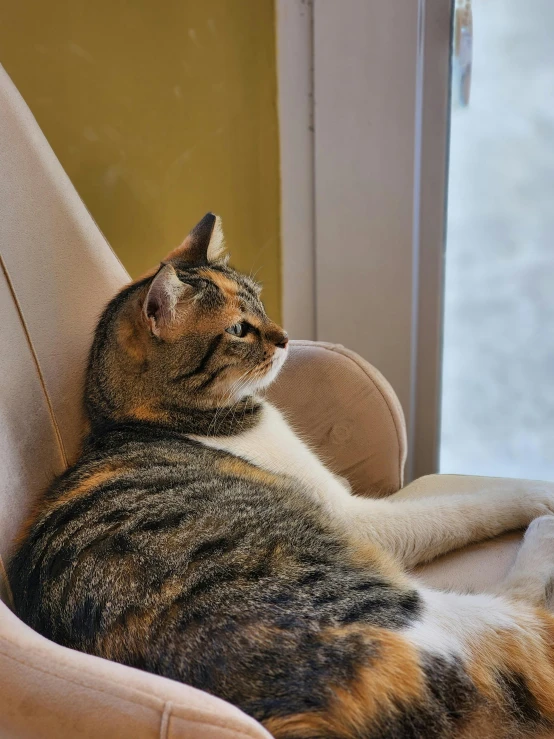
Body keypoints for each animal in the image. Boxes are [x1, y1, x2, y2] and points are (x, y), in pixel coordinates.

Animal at [8, 212, 554, 736]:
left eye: (261, 305)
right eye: (238, 330)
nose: (286, 338)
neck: (156, 419)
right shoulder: (354, 516)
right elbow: (471, 504)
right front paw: (538, 496)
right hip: (419, 615)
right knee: (525, 618)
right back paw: (542, 534)